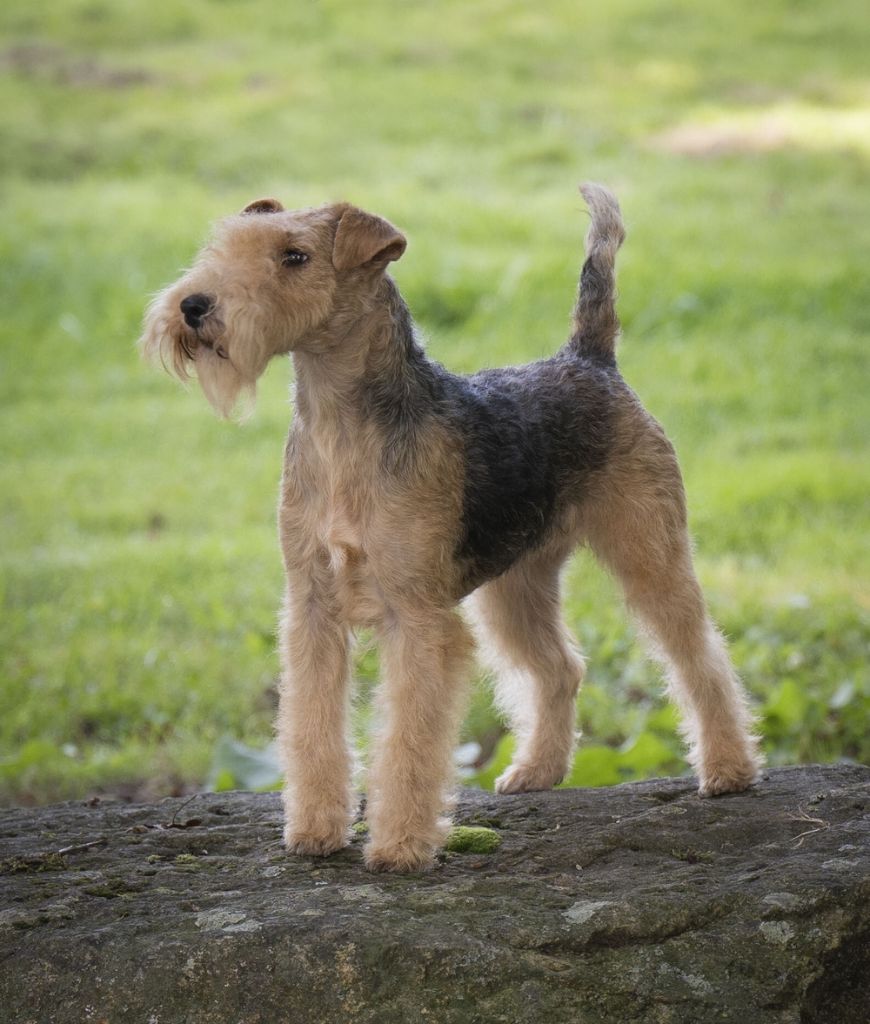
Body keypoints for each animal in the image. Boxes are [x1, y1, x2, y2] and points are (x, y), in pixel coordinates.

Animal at [141, 184, 761, 871]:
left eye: (295, 256)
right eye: (222, 246)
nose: (193, 306)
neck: (340, 428)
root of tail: (588, 360)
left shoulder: (417, 616)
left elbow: (409, 738)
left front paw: (401, 846)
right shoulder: (312, 607)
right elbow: (312, 724)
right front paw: (314, 831)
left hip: (648, 551)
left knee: (699, 656)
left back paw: (729, 770)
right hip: (516, 584)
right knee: (561, 668)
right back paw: (536, 772)